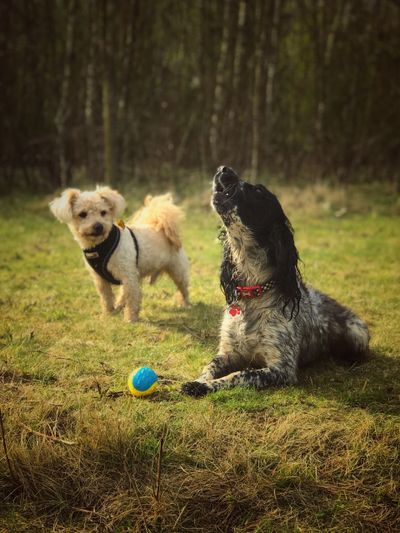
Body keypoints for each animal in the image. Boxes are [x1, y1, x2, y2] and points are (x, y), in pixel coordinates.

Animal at [49, 185, 190, 322]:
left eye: (103, 212)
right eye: (82, 214)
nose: (98, 226)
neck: (101, 245)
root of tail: (160, 228)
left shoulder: (128, 275)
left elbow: (132, 300)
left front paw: (130, 319)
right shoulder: (101, 280)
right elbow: (106, 298)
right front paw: (107, 315)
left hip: (177, 270)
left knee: (183, 288)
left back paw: (185, 303)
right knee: (124, 293)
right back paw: (119, 305)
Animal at [181, 166, 368, 394]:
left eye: (258, 191)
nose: (224, 169)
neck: (253, 292)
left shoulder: (281, 368)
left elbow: (240, 374)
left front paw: (206, 386)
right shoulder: (228, 353)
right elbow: (210, 366)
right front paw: (198, 382)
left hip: (357, 334)